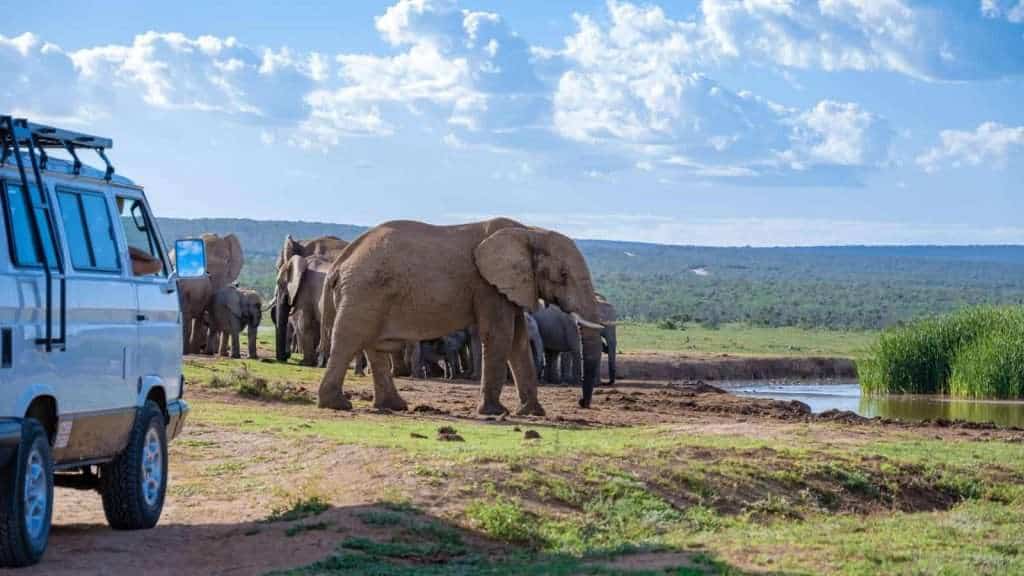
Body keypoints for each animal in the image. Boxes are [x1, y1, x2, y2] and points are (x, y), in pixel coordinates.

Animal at [317, 218, 604, 415]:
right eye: (563, 275)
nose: (582, 402)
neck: (528, 231)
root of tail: (339, 263)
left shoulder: (509, 288)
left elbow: (518, 342)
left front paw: (532, 413)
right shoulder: (487, 286)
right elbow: (499, 336)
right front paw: (495, 412)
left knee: (373, 347)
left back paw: (394, 406)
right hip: (364, 292)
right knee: (349, 340)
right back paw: (338, 405)